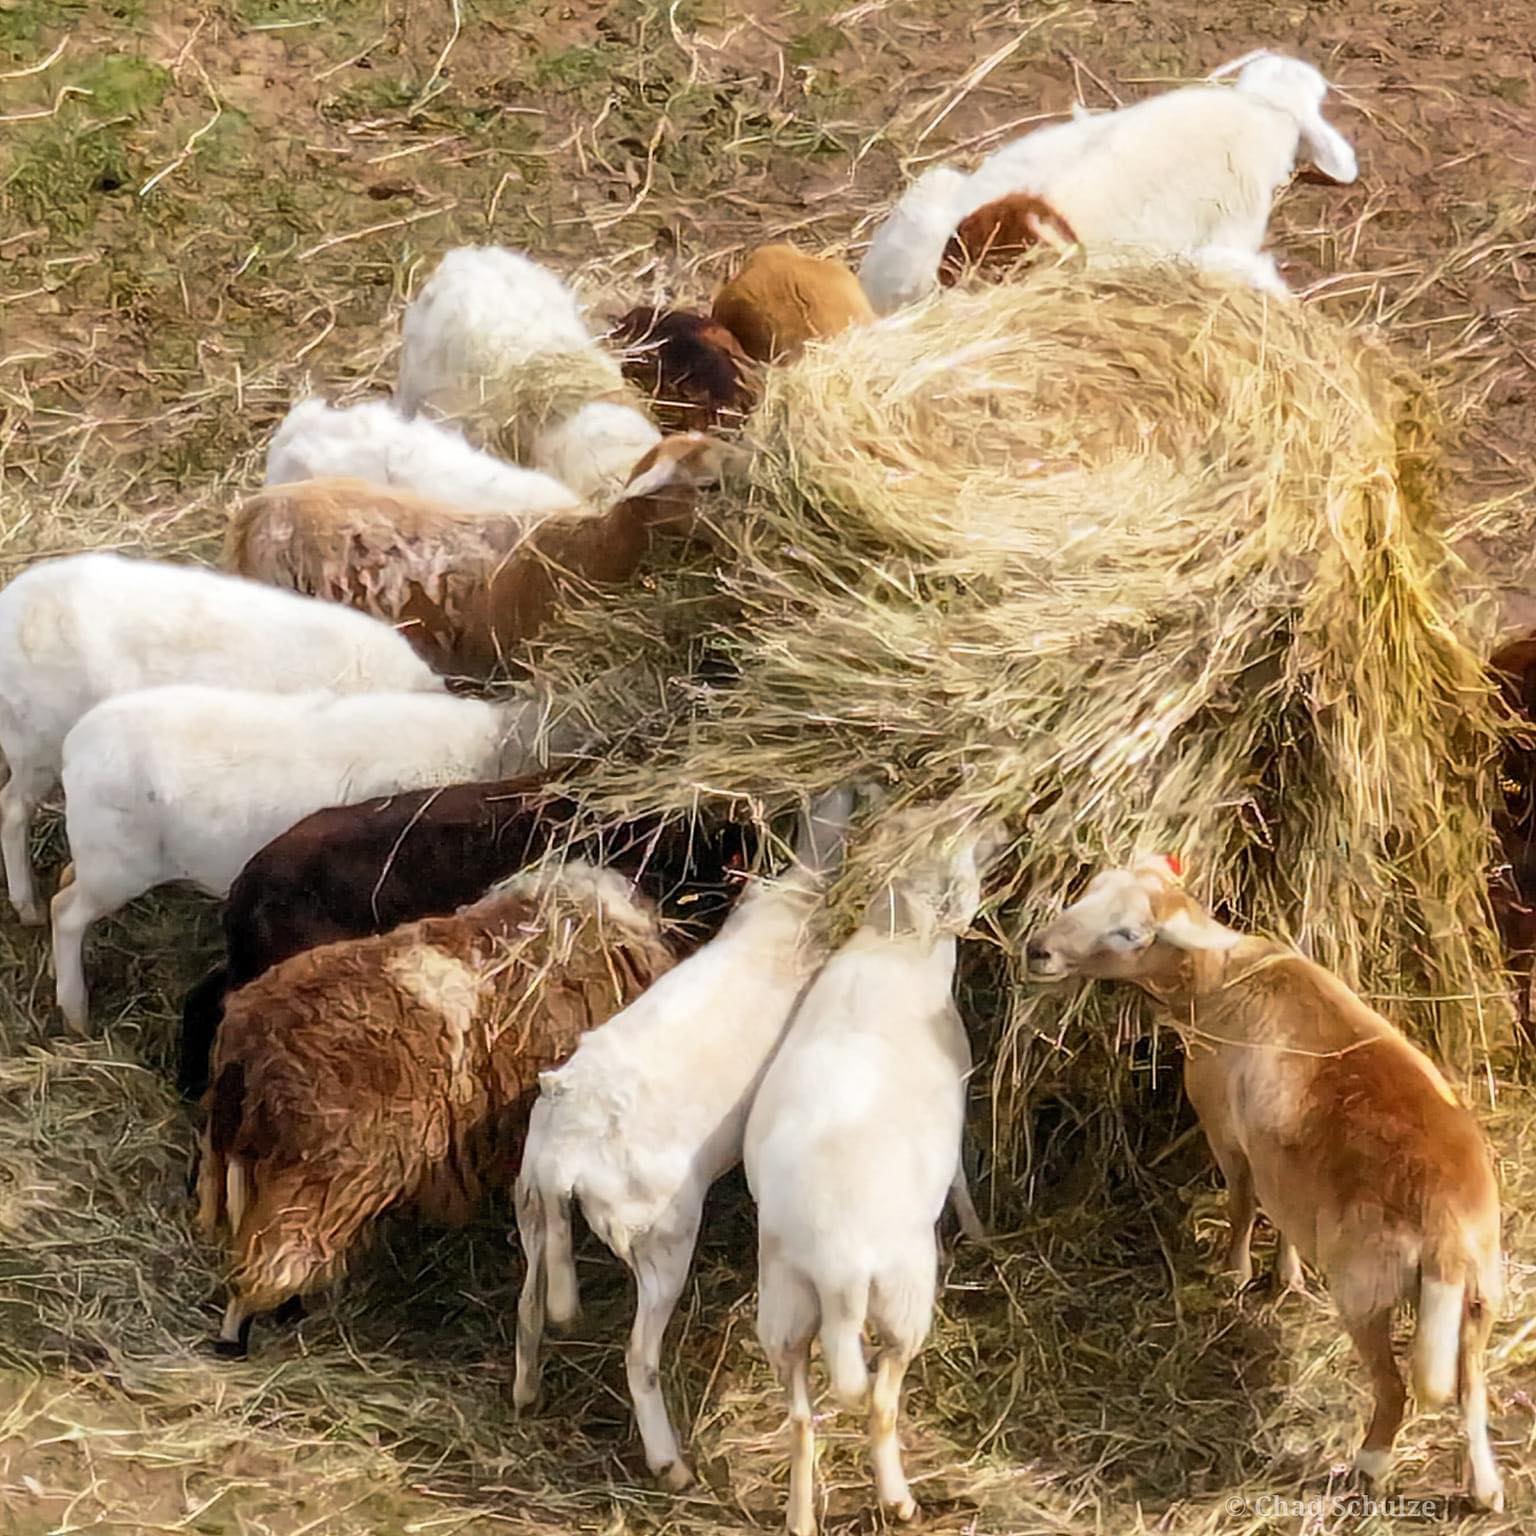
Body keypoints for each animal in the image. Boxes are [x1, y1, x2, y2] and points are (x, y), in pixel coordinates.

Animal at [511, 786, 858, 1491]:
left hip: (530, 1204)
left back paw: (526, 1395)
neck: (800, 894)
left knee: (529, 1308)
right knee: (637, 1356)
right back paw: (669, 1462)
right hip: (659, 1236)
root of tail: (566, 1157)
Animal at [744, 820, 1000, 1535]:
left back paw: (801, 1516)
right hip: (904, 1296)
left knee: (802, 1418)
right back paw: (899, 1498)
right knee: (880, 1402)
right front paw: (978, 1230)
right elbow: (961, 1176)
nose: (1000, 829)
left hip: (781, 1307)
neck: (895, 945)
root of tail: (838, 1269)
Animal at [1023, 855, 1504, 1511]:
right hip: (1483, 1292)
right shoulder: (1285, 1164)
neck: (1220, 978)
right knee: (1473, 1389)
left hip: (1365, 1286)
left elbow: (1244, 1205)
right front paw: (1285, 1277)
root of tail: (1448, 1229)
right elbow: (1283, 1218)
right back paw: (1485, 1489)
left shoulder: (1226, 1129)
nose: (1037, 951)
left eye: (1130, 934)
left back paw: (1369, 1466)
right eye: (1087, 891)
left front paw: (1234, 1273)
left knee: (1394, 1388)